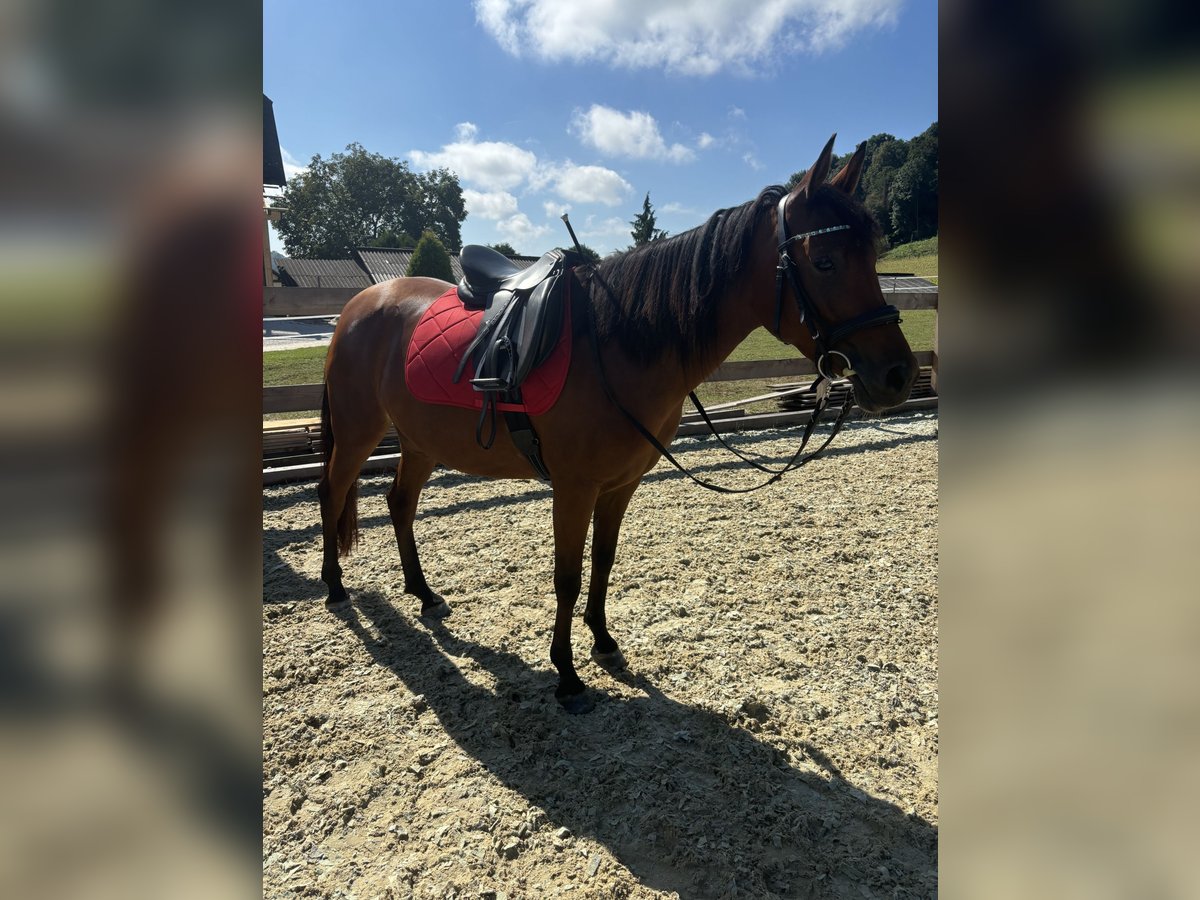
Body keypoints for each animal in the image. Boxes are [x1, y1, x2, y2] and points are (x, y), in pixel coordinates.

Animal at [314, 135, 912, 710]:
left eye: (871, 256)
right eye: (825, 261)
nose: (897, 375)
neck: (615, 343)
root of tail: (360, 304)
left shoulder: (620, 486)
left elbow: (602, 563)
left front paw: (603, 642)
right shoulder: (574, 489)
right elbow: (567, 577)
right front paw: (566, 675)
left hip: (419, 441)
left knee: (399, 503)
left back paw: (422, 592)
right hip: (360, 430)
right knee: (333, 490)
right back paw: (334, 585)